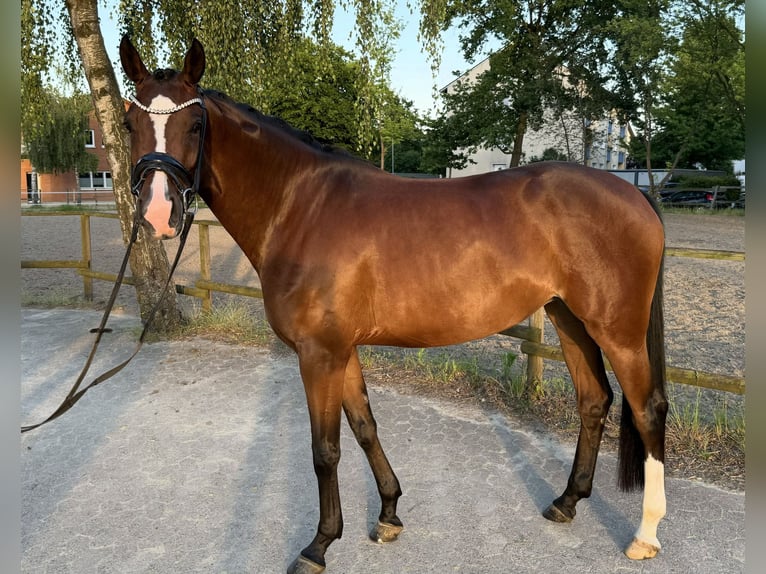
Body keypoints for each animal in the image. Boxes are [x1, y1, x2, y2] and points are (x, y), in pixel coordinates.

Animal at [119, 36, 668, 574]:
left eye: (194, 125)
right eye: (129, 123)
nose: (159, 214)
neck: (301, 206)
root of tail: (634, 195)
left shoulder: (319, 353)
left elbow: (325, 449)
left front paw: (319, 545)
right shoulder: (341, 350)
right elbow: (364, 426)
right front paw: (388, 514)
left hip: (617, 330)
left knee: (648, 408)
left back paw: (645, 536)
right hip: (568, 317)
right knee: (594, 401)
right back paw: (567, 502)